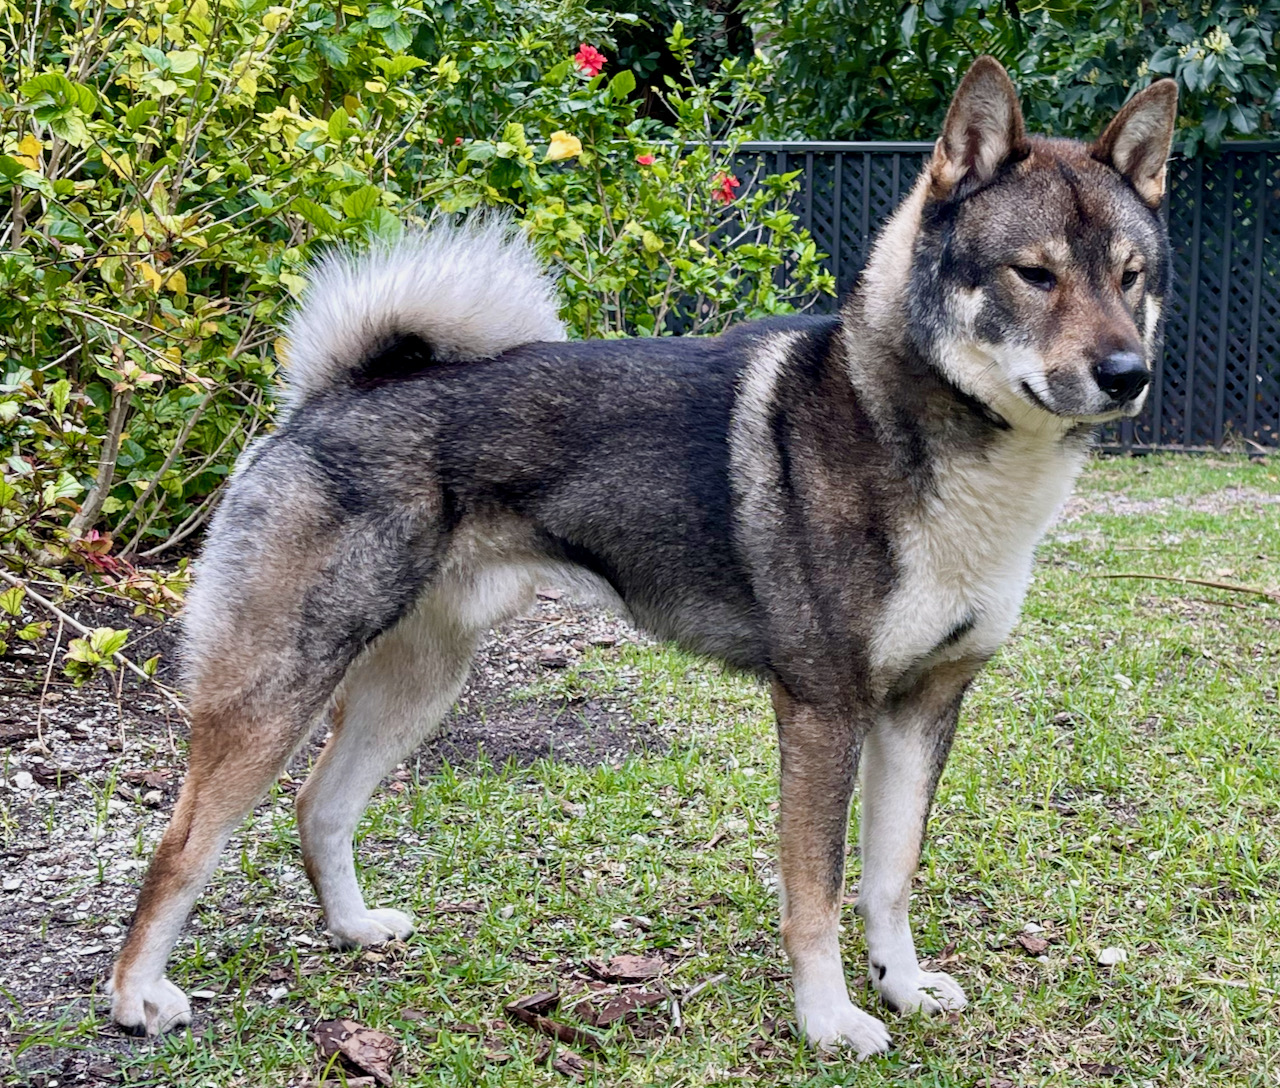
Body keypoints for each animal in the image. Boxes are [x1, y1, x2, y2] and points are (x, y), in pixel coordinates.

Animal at [110, 57, 1177, 1049]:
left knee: (319, 808)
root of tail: (334, 394)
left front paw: (902, 986)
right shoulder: (823, 711)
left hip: (418, 682)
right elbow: (818, 893)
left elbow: (890, 878)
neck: (928, 438)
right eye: (1034, 274)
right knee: (182, 845)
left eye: (1130, 277)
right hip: (274, 691)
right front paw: (830, 1020)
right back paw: (136, 997)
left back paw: (354, 929)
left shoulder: (922, 709)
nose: (1129, 374)